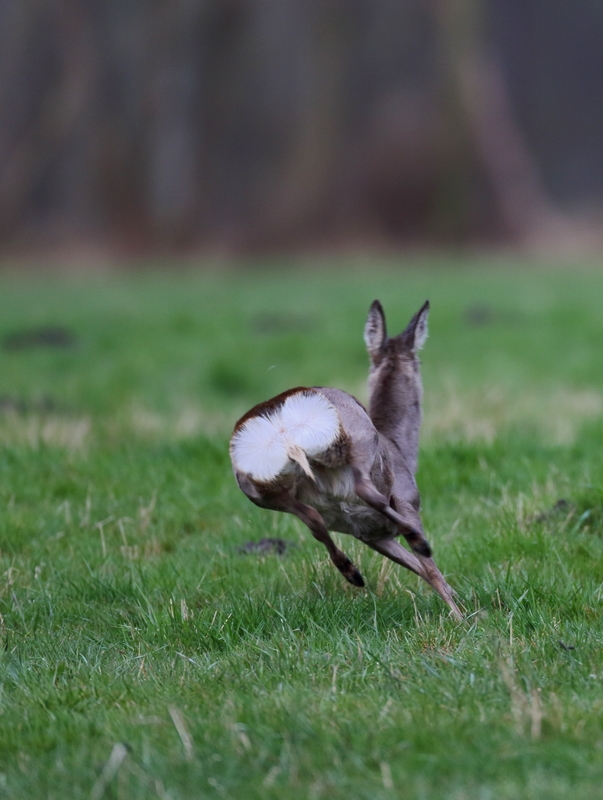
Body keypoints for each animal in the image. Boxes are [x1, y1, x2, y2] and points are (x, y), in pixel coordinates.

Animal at [231, 300, 462, 620]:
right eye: (419, 362)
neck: (399, 448)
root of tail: (281, 425)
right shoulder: (407, 499)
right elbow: (429, 569)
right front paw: (462, 617)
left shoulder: (371, 535)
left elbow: (419, 569)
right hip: (360, 439)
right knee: (365, 490)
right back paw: (417, 543)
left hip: (259, 490)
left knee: (314, 520)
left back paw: (353, 573)